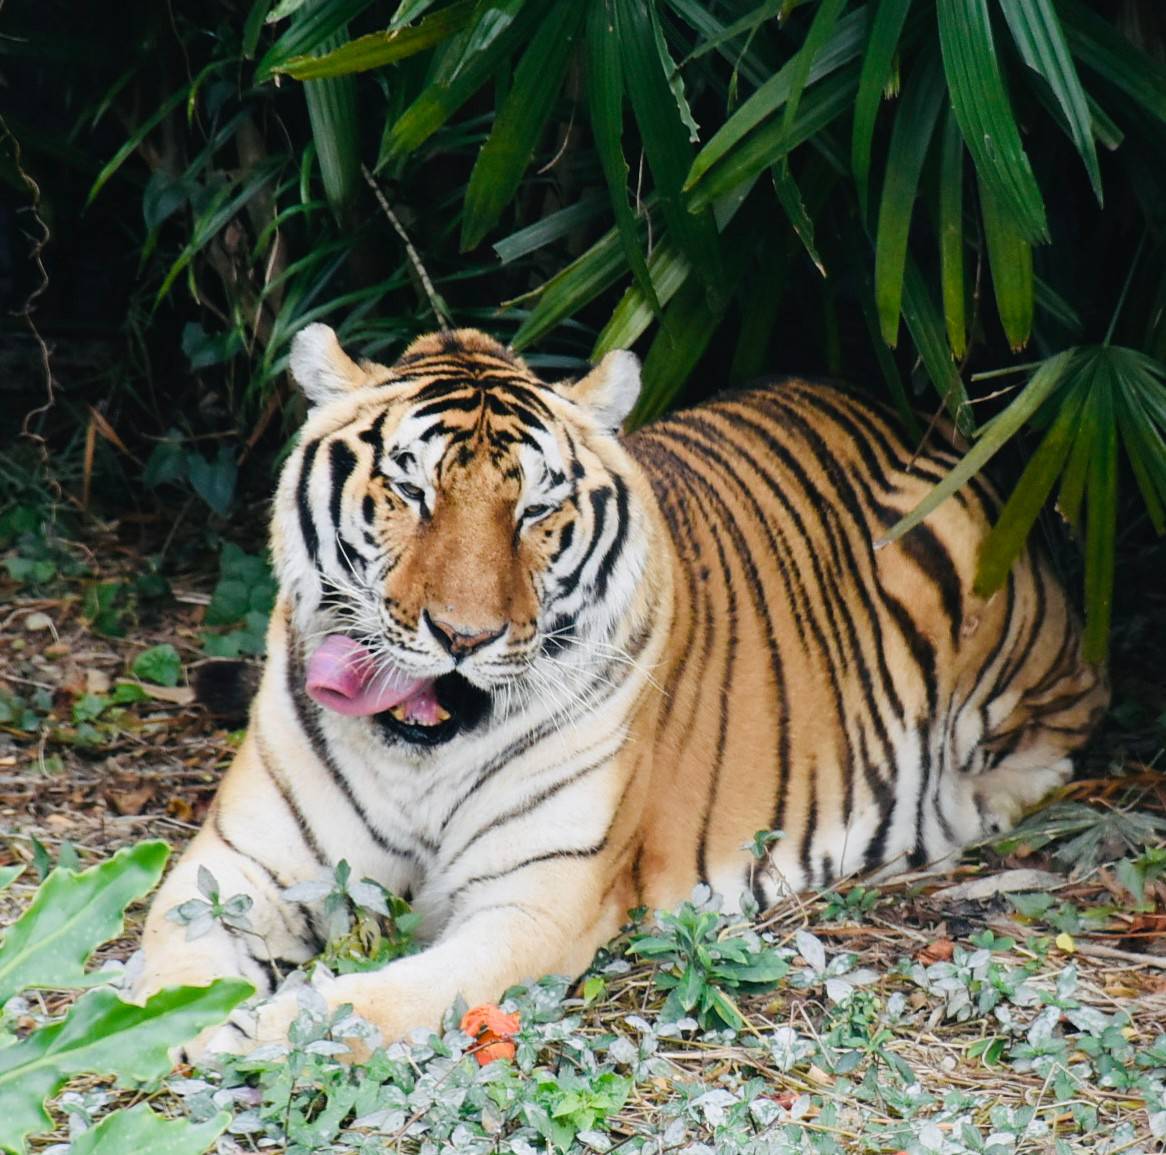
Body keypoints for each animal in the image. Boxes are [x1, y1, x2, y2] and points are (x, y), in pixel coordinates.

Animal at [136, 323, 1107, 1055]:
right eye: (409, 490)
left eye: (533, 511)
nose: (463, 636)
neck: (420, 759)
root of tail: (916, 419)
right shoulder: (237, 862)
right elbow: (171, 956)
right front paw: (163, 1026)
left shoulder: (535, 902)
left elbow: (381, 998)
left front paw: (258, 1033)